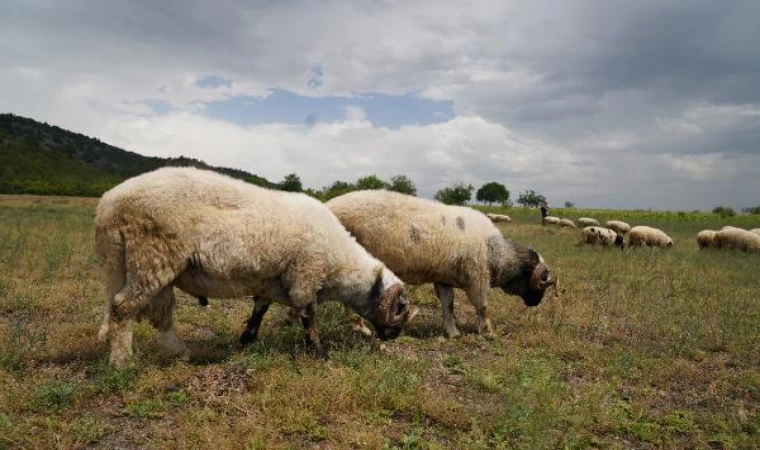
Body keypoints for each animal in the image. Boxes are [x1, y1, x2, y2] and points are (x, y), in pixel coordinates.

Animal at [95, 167, 418, 368]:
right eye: (399, 308)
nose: (392, 337)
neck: (340, 266)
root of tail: (108, 206)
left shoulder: (270, 282)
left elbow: (259, 311)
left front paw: (246, 341)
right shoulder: (305, 276)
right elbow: (309, 317)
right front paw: (318, 353)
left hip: (133, 265)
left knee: (154, 314)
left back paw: (182, 353)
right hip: (152, 256)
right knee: (123, 308)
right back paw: (122, 363)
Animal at [318, 188, 560, 340]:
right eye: (541, 281)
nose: (535, 304)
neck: (497, 253)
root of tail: (329, 205)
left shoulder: (443, 279)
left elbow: (448, 305)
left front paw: (452, 333)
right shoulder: (478, 278)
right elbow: (482, 306)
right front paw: (488, 332)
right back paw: (360, 328)